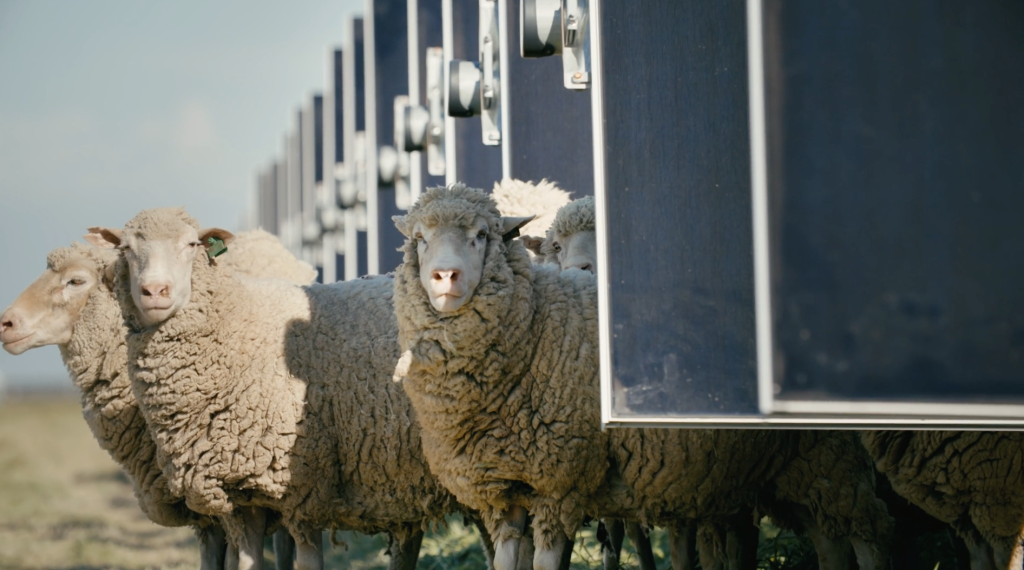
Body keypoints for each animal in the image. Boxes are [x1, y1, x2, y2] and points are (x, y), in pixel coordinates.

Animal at [90, 207, 460, 570]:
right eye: (125, 249)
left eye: (192, 244)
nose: (155, 291)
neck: (238, 325)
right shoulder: (244, 490)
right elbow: (247, 560)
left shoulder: (306, 486)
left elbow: (307, 558)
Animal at [390, 184, 894, 570]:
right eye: (419, 239)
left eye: (481, 235)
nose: (445, 276)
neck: (536, 324)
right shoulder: (503, 492)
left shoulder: (560, 480)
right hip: (790, 464)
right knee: (828, 539)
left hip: (834, 455)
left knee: (867, 532)